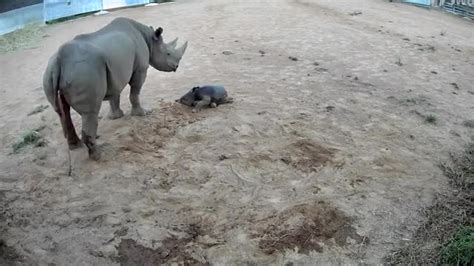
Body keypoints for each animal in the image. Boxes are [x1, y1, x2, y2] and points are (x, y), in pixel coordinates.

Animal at [42, 18, 187, 161]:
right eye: (168, 53)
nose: (176, 66)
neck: (149, 39)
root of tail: (59, 61)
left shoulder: (113, 72)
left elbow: (114, 95)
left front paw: (116, 117)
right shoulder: (140, 69)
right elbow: (135, 92)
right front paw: (142, 113)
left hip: (51, 73)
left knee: (62, 111)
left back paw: (76, 146)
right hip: (85, 70)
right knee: (90, 112)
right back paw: (99, 155)